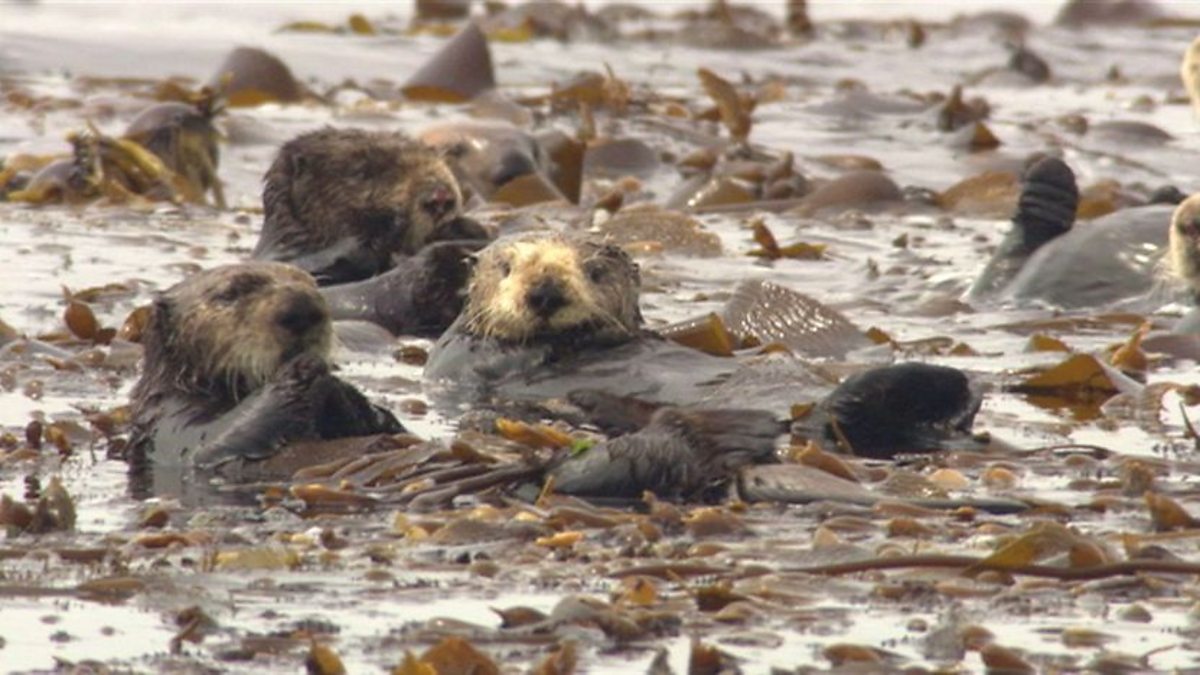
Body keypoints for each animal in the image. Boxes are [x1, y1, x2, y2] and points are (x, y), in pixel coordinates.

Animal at [126, 262, 404, 497]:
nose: (301, 309)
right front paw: (307, 367)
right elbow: (210, 445)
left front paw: (350, 398)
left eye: (312, 284)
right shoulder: (170, 422)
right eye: (230, 293)